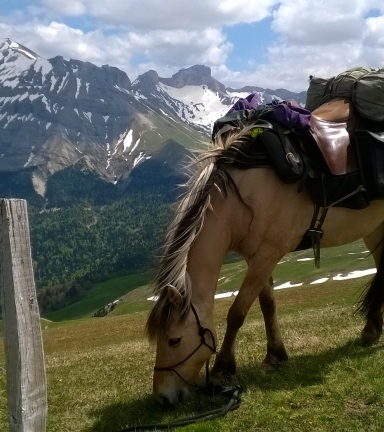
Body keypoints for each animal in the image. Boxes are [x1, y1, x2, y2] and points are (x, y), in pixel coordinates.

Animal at [146, 121, 384, 404]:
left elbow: (237, 313)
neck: (242, 200)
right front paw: (275, 356)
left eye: (174, 340)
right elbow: (268, 305)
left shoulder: (267, 255)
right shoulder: (258, 258)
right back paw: (371, 330)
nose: (162, 398)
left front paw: (222, 369)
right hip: (374, 230)